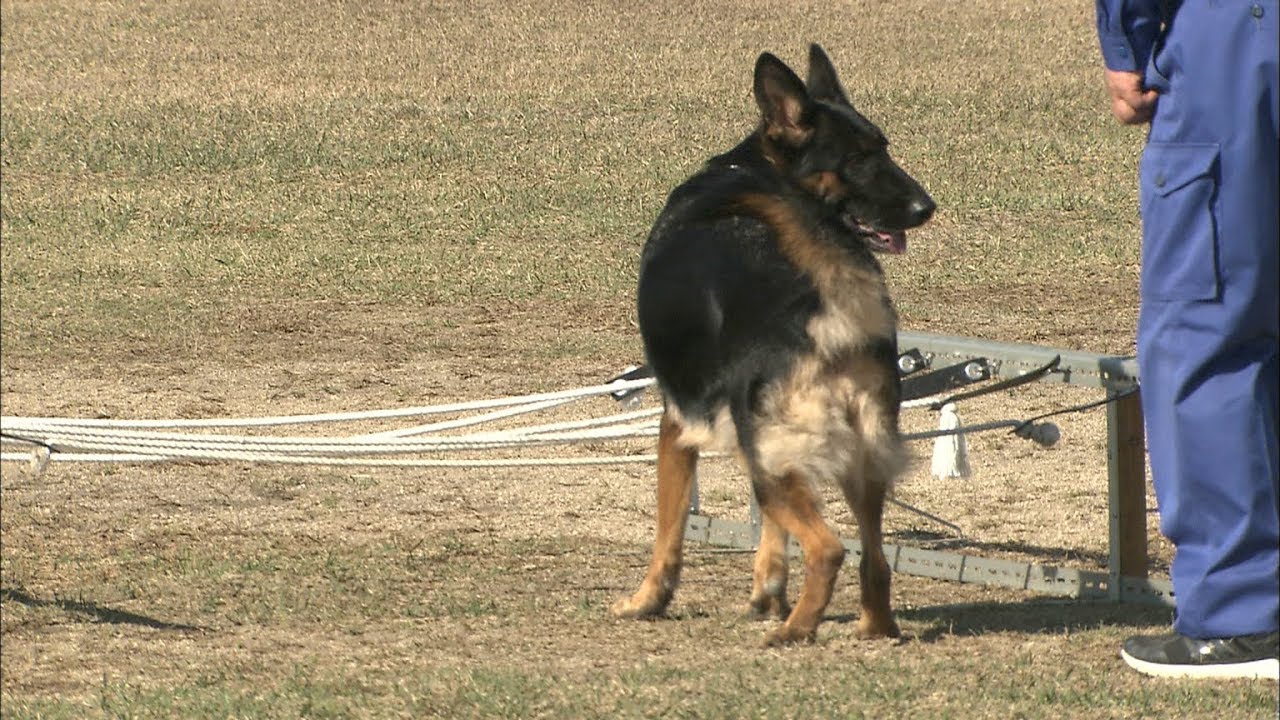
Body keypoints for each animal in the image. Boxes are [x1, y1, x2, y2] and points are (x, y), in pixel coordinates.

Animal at [609, 46, 931, 645]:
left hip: (772, 455)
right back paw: (872, 627)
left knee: (829, 549)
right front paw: (767, 589)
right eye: (863, 156)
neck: (759, 170)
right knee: (874, 559)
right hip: (856, 457)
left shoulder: (677, 419)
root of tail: (830, 320)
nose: (927, 207)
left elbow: (668, 529)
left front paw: (647, 601)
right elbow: (771, 533)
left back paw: (794, 632)